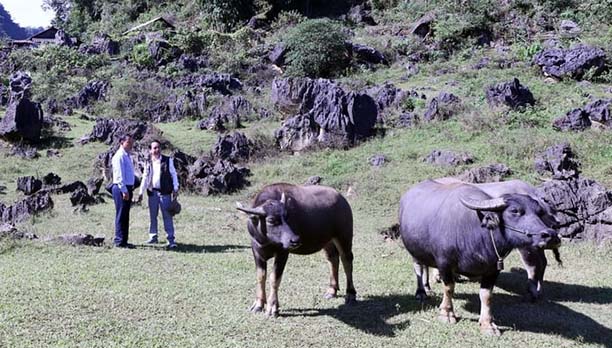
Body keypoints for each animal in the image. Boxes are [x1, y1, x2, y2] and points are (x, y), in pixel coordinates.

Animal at [235, 184, 358, 316]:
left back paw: (350, 294)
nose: (295, 240)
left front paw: (272, 307)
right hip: (328, 241)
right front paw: (258, 305)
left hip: (344, 236)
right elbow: (260, 277)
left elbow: (274, 278)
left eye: (287, 217)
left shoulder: (283, 253)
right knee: (333, 258)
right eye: (271, 220)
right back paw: (331, 290)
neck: (266, 240)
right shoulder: (256, 252)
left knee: (347, 261)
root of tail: (342, 199)